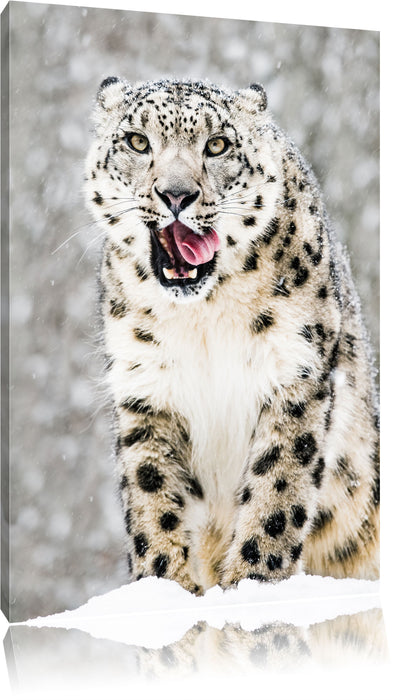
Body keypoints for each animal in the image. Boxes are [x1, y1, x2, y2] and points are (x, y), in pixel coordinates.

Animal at [84, 77, 380, 595]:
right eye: (137, 141)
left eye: (217, 145)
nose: (176, 194)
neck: (203, 318)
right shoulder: (147, 388)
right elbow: (153, 495)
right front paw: (165, 586)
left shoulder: (294, 373)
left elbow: (276, 490)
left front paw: (254, 583)